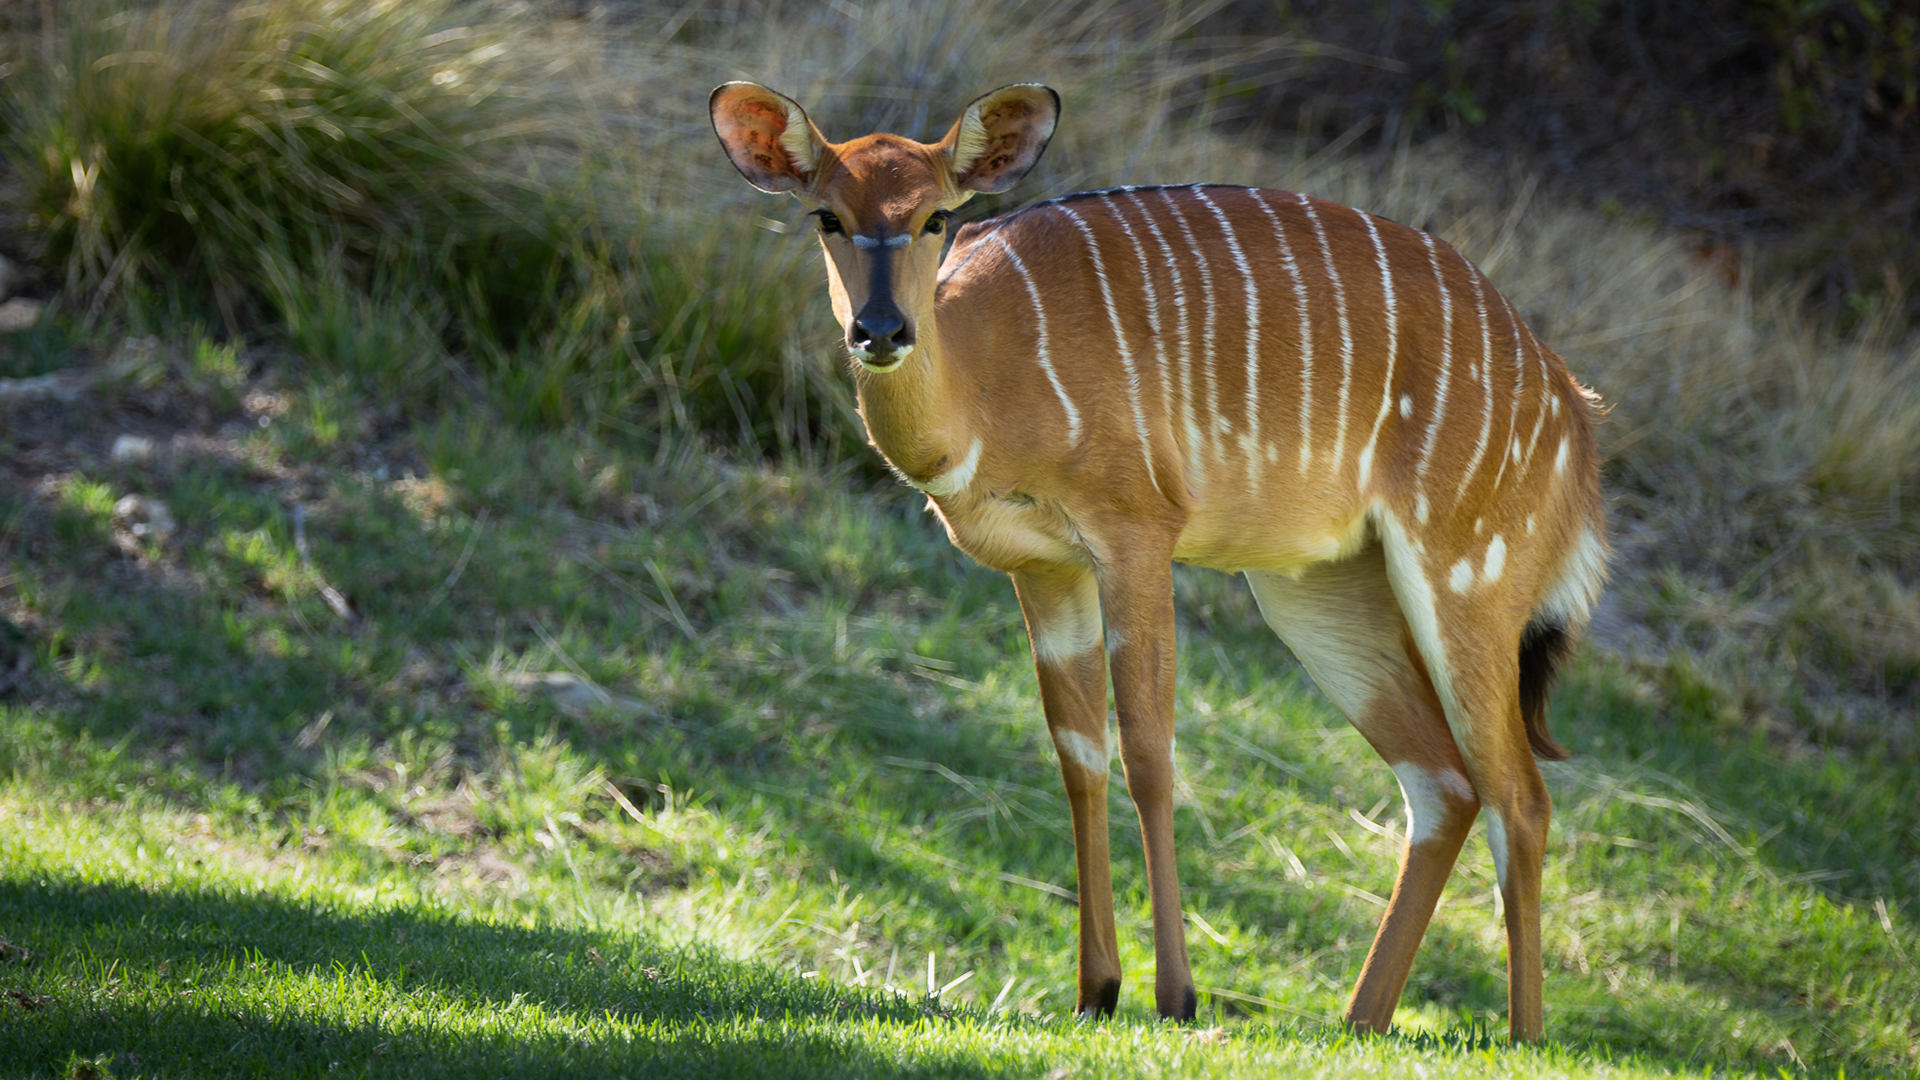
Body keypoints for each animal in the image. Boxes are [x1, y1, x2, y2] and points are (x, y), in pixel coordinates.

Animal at [706, 79, 1605, 1037]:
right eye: (826, 217)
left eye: (937, 215)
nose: (880, 330)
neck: (987, 377)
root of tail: (1570, 406)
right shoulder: (1044, 568)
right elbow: (1077, 753)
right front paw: (1094, 990)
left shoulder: (1135, 531)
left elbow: (1148, 751)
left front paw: (1174, 996)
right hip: (1319, 591)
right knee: (1444, 782)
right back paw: (1360, 1020)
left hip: (1465, 574)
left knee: (1521, 795)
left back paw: (1521, 1037)